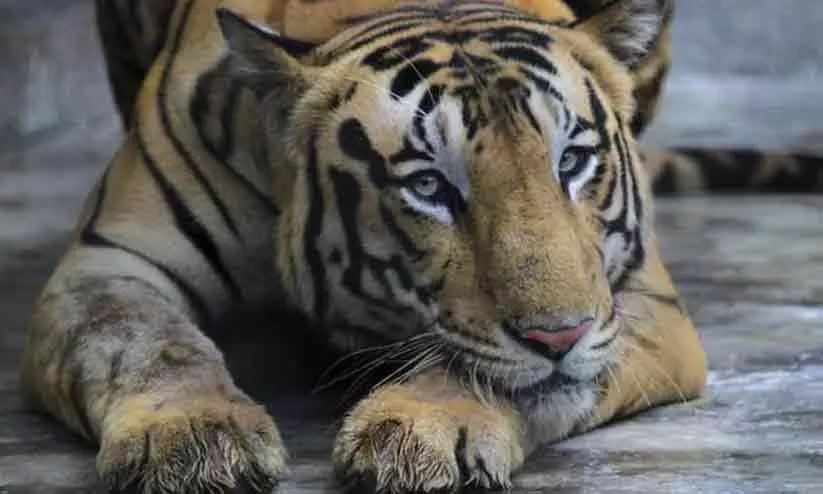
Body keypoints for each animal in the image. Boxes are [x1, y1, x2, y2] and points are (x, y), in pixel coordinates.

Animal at [20, 0, 797, 492]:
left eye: (572, 161)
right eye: (429, 186)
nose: (560, 335)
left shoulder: (639, 297)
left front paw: (421, 429)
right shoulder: (110, 261)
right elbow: (141, 340)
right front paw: (193, 436)